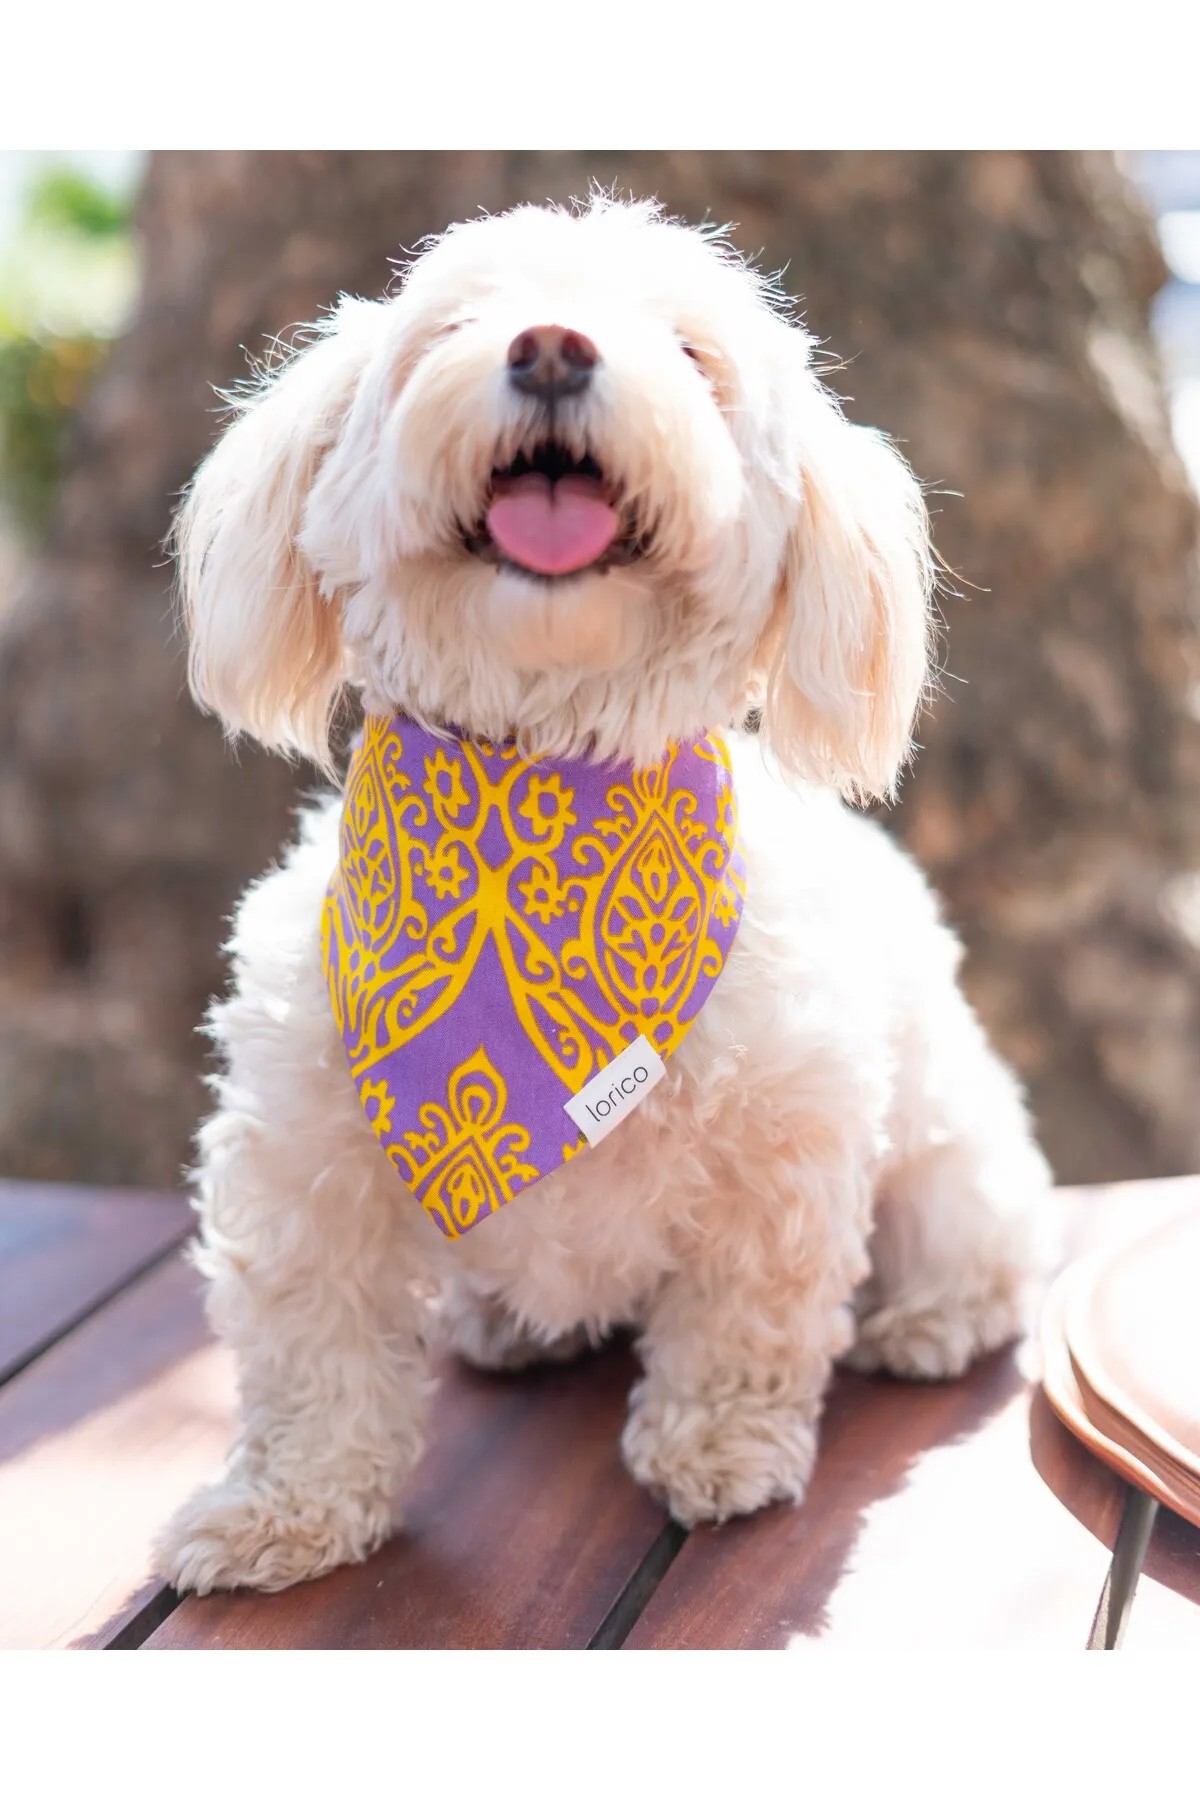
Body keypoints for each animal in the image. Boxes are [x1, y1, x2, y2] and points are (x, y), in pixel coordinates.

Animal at [157, 197, 1050, 1598]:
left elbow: (748, 1319)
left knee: (985, 1248)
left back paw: (929, 1319)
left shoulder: (782, 1152)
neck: (534, 800)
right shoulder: (306, 1164)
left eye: (690, 351)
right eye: (457, 325)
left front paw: (721, 1451)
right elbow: (312, 1356)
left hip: (953, 1152)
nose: (553, 346)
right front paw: (280, 1510)